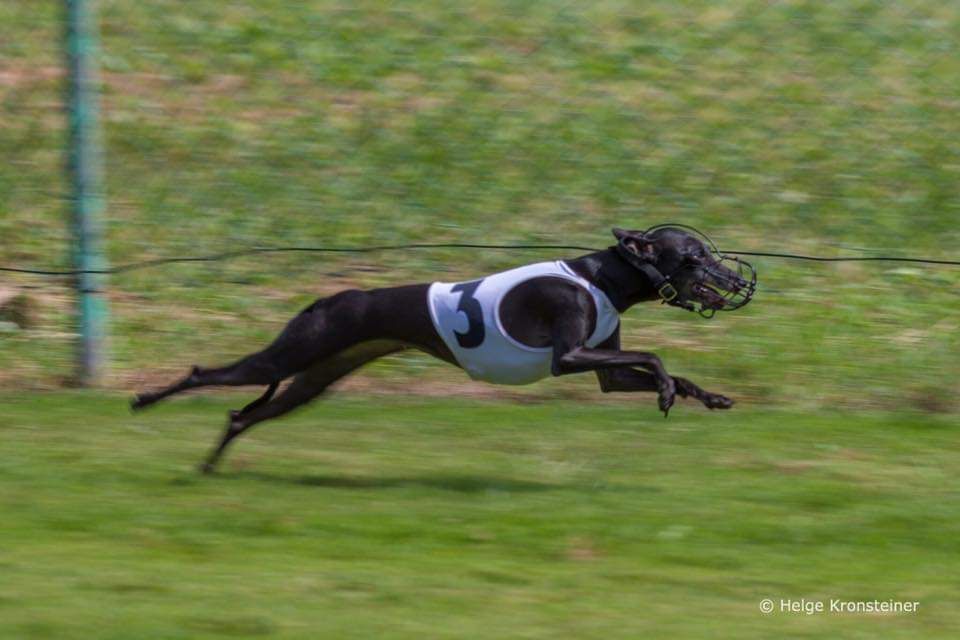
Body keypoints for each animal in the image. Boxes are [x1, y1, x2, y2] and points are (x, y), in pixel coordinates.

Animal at [132, 224, 756, 472]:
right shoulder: (569, 358)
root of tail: (327, 299)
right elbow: (654, 357)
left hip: (311, 381)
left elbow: (649, 368)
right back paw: (145, 401)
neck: (603, 277)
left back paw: (211, 465)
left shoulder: (604, 370)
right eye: (694, 256)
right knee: (204, 372)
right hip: (289, 357)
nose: (736, 280)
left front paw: (706, 396)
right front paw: (668, 390)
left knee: (242, 415)